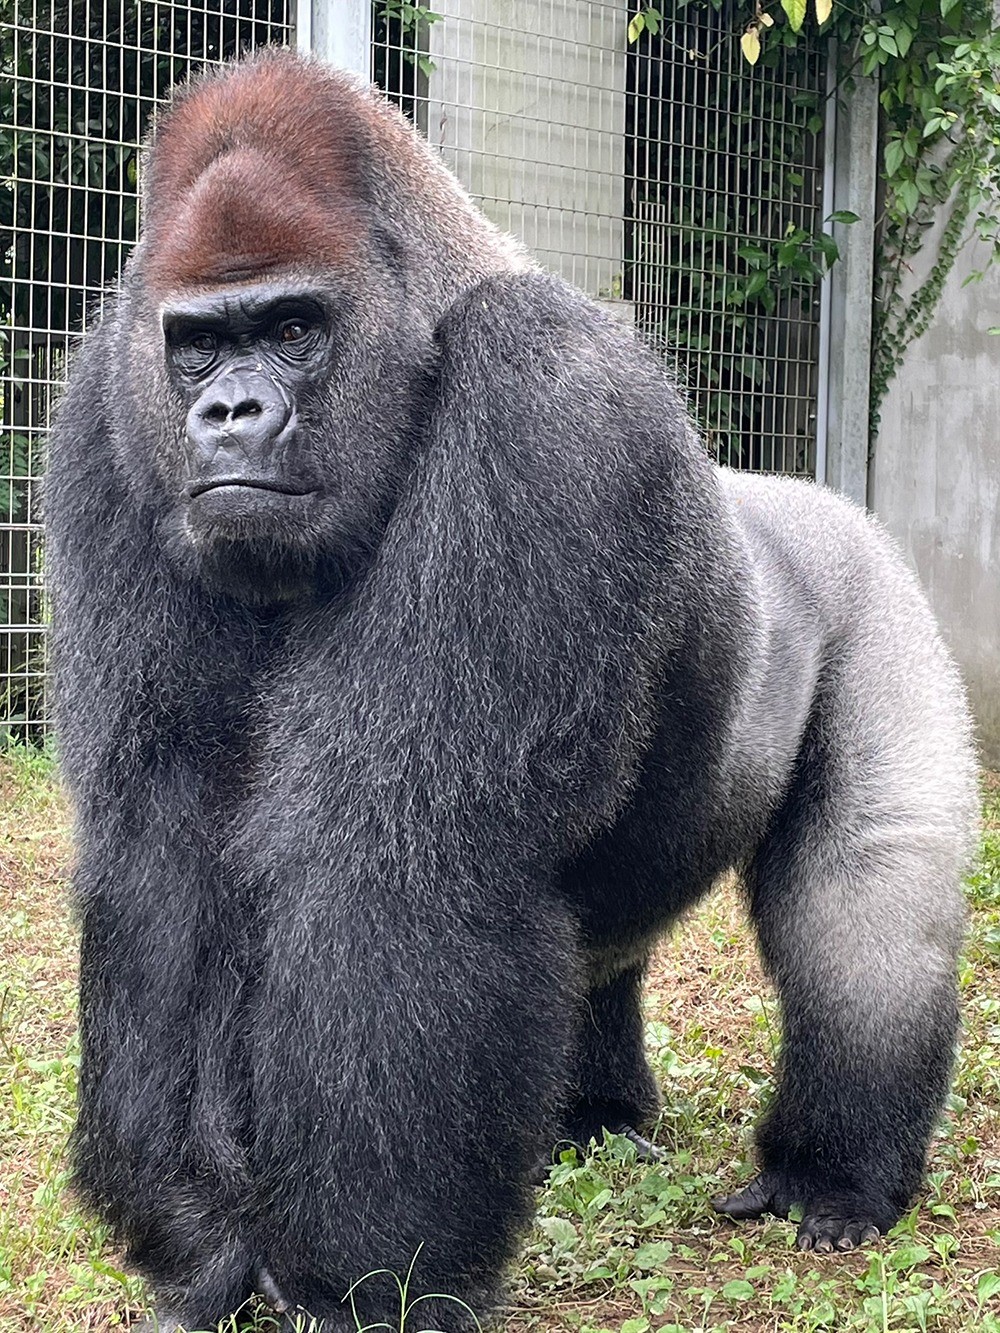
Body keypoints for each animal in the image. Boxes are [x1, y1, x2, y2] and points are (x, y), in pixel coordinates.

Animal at [47, 44, 981, 1333]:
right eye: (195, 343)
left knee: (868, 904)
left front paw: (359, 1275)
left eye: (292, 328)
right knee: (604, 938)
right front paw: (197, 1239)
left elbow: (405, 849)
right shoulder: (106, 414)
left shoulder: (547, 395)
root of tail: (820, 500)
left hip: (883, 608)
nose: (226, 413)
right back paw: (595, 1114)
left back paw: (833, 1170)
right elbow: (159, 838)